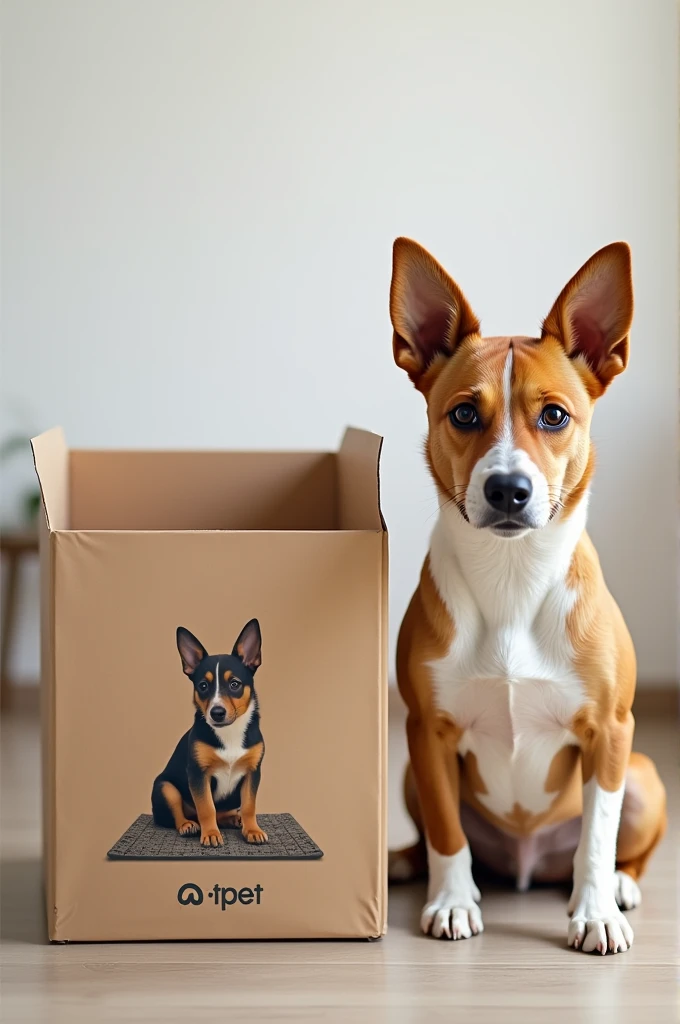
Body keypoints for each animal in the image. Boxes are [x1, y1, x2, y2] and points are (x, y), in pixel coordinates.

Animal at [151, 618, 268, 843]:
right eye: (203, 686)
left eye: (234, 684)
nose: (217, 712)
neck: (229, 733)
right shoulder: (199, 774)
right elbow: (206, 807)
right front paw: (211, 834)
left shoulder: (252, 772)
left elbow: (249, 806)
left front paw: (252, 830)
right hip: (165, 787)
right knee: (181, 813)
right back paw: (188, 825)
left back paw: (233, 819)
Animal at [391, 237, 667, 950]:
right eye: (464, 412)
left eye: (555, 415)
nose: (508, 490)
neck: (512, 580)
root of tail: (525, 865)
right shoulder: (425, 732)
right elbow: (447, 833)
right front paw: (452, 902)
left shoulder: (610, 732)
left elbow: (597, 836)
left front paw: (595, 912)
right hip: (408, 772)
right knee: (434, 840)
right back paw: (411, 867)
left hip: (645, 776)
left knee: (617, 847)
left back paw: (622, 887)